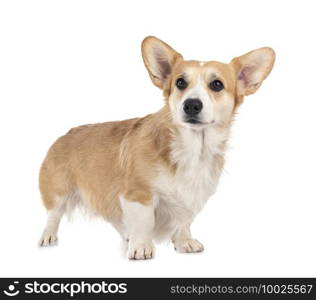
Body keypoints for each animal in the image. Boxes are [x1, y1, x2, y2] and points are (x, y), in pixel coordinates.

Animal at [39, 36, 274, 258]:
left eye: (217, 84)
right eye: (180, 82)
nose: (191, 105)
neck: (192, 148)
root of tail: (66, 133)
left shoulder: (191, 196)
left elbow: (184, 221)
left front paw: (184, 242)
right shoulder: (138, 194)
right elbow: (144, 222)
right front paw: (141, 247)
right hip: (58, 192)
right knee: (53, 214)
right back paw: (48, 236)